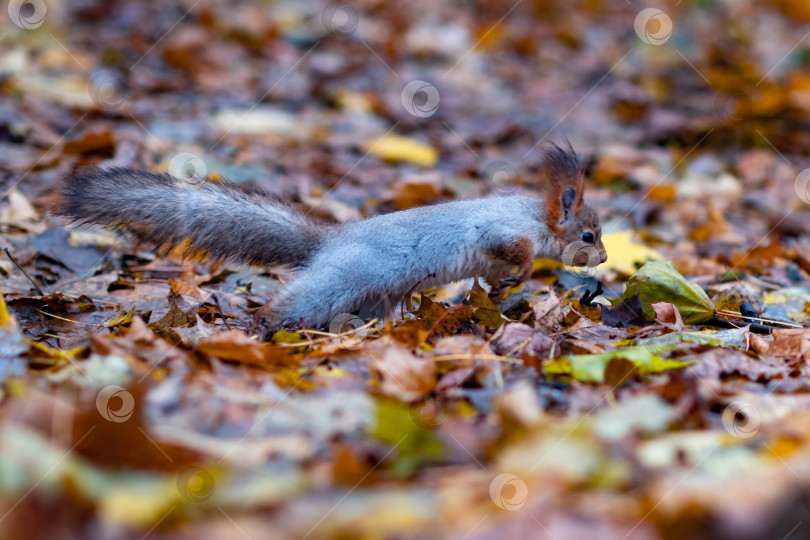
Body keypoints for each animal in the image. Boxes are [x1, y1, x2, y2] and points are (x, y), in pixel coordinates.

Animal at [52, 143, 608, 336]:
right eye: (588, 233)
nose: (603, 259)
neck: (535, 216)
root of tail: (326, 242)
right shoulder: (502, 230)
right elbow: (514, 252)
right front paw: (521, 273)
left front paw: (499, 289)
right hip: (340, 280)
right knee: (292, 305)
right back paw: (262, 327)